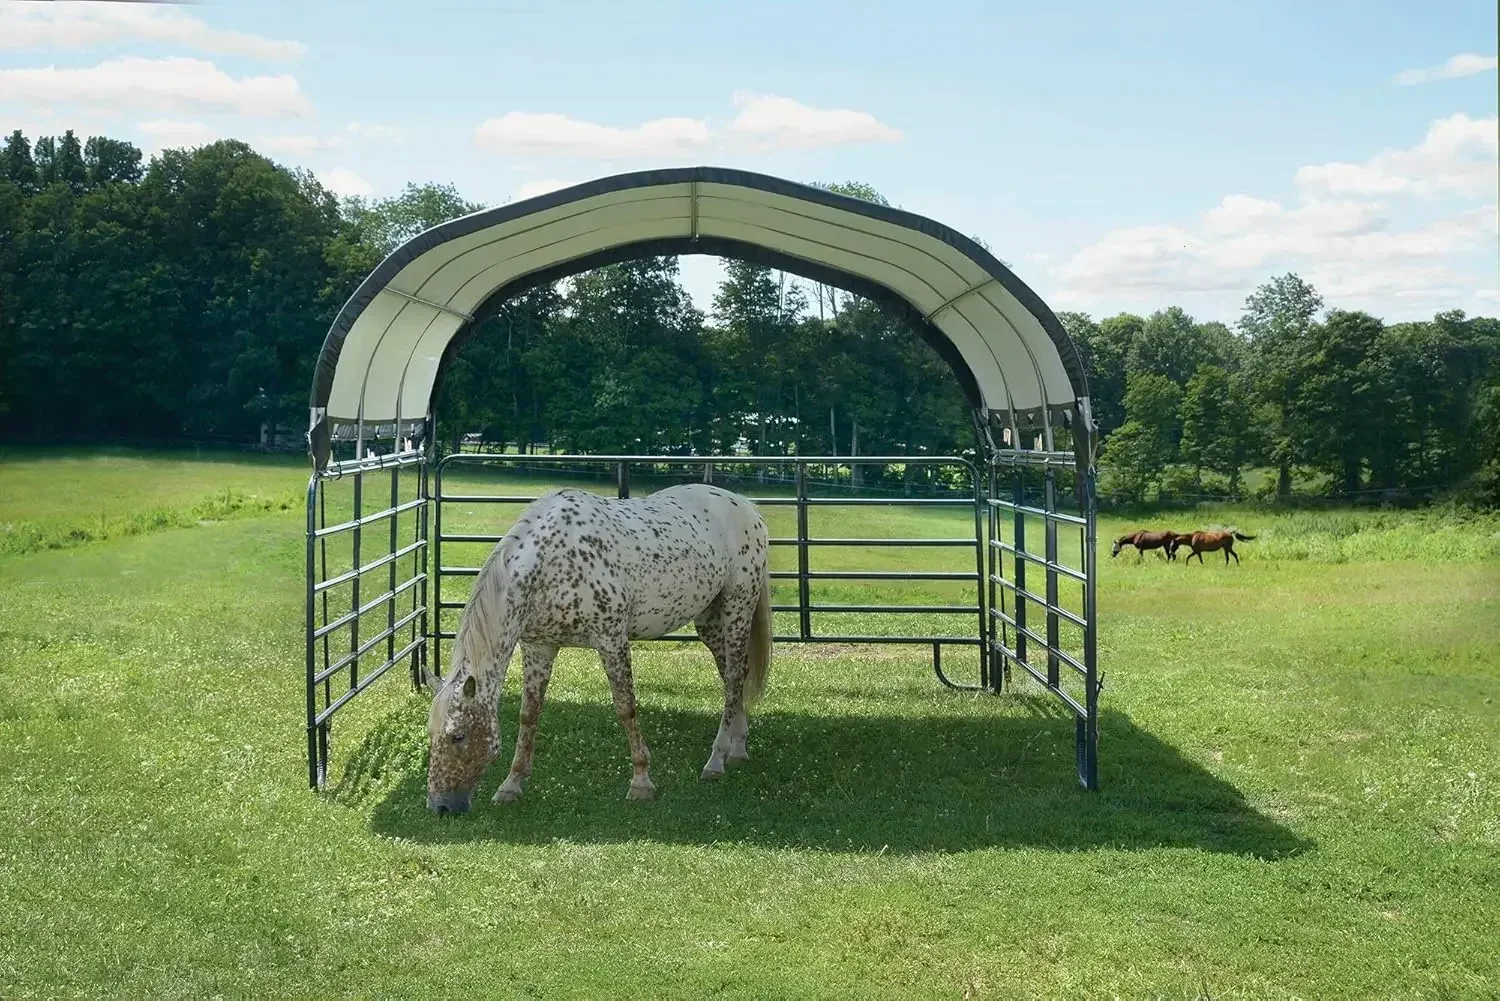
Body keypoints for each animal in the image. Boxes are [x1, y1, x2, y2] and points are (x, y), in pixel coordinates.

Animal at [426, 480, 768, 816]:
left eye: (458, 736)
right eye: (431, 734)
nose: (440, 806)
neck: (549, 565)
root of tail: (748, 508)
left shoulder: (611, 639)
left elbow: (626, 708)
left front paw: (641, 781)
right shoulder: (538, 647)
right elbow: (528, 714)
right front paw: (511, 784)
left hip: (737, 607)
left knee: (734, 677)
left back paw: (716, 759)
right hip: (709, 618)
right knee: (734, 676)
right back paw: (738, 747)